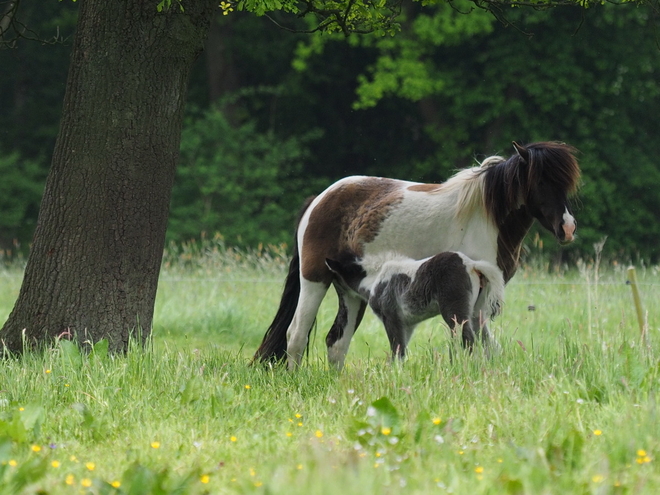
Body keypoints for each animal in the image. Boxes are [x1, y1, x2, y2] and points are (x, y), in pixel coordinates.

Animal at [324, 252, 506, 360]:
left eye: (336, 278)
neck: (374, 279)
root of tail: (471, 265)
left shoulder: (391, 318)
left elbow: (397, 350)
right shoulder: (407, 324)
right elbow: (403, 349)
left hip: (455, 313)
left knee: (468, 339)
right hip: (476, 313)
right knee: (488, 341)